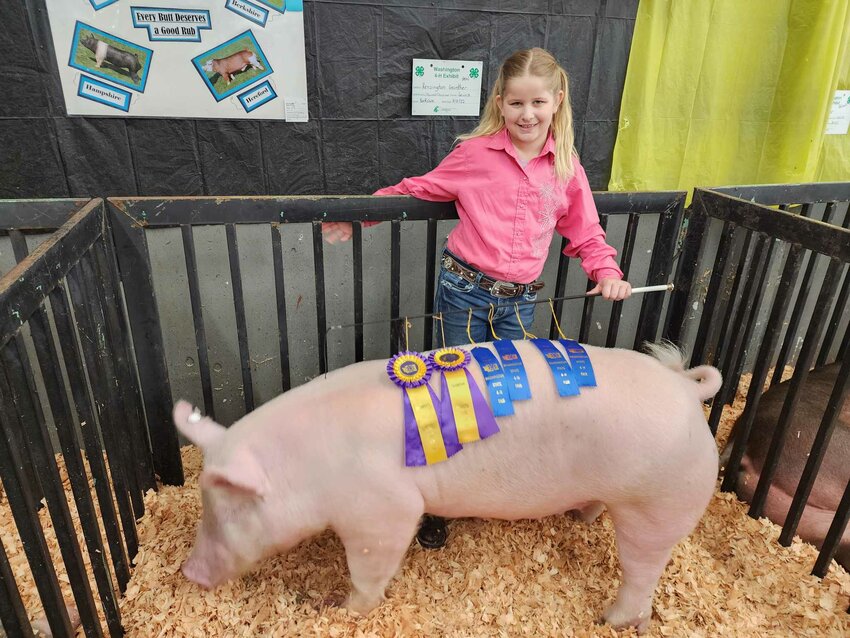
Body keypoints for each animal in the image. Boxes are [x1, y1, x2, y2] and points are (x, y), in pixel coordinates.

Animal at [176, 340, 720, 636]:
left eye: (228, 509)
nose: (188, 572)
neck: (308, 466)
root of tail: (686, 389)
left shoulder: (382, 510)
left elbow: (370, 567)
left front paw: (340, 610)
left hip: (659, 505)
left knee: (642, 573)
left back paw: (611, 621)